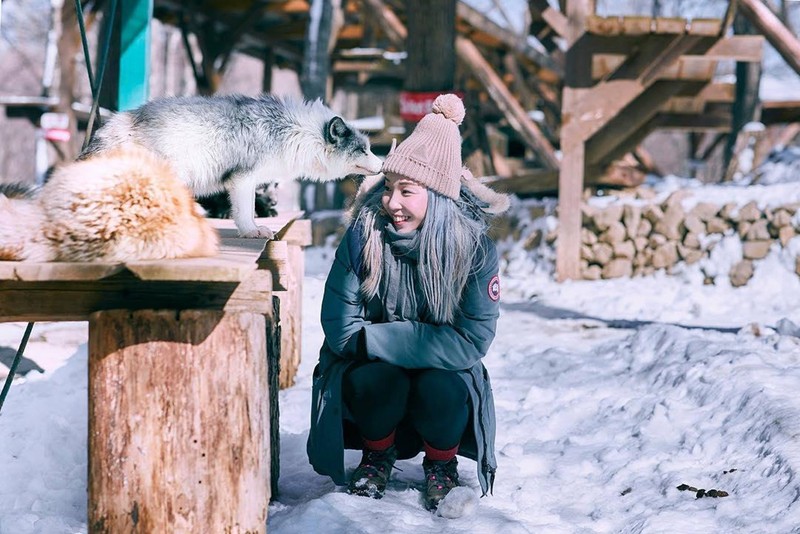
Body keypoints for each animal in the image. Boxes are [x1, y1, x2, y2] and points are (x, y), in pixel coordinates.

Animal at [83, 93, 382, 239]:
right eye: (363, 149)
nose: (382, 164)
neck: (295, 131)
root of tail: (111, 126)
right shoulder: (242, 180)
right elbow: (245, 212)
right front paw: (251, 232)